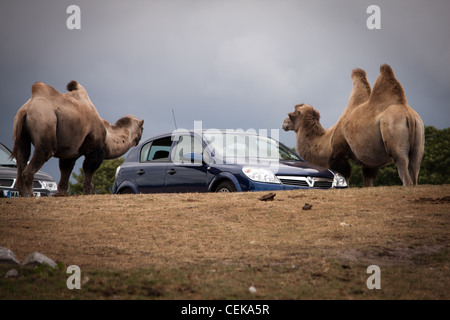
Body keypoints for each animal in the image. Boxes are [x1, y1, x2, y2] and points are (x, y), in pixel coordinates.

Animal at [11, 80, 144, 195]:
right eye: (142, 129)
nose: (139, 140)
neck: (108, 138)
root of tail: (25, 110)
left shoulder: (70, 154)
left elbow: (64, 176)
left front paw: (60, 195)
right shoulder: (94, 151)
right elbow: (88, 176)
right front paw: (87, 194)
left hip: (22, 135)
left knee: (22, 158)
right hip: (45, 127)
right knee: (32, 166)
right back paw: (32, 196)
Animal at [284, 63, 424, 186]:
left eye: (291, 115)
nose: (284, 124)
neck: (326, 141)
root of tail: (408, 114)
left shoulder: (339, 152)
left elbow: (344, 175)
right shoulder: (368, 161)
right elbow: (367, 181)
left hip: (395, 138)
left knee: (404, 169)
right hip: (419, 139)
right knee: (415, 168)